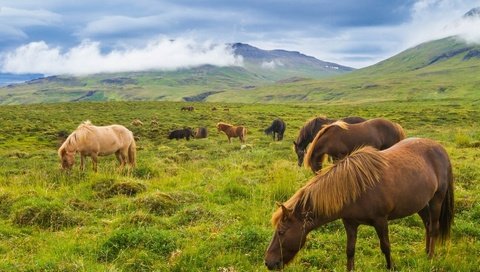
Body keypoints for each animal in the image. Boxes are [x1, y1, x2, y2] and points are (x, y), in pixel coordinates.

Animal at [264, 139, 456, 270]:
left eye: (281, 232)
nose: (268, 262)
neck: (354, 188)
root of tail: (440, 148)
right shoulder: (350, 223)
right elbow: (350, 250)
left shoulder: (381, 221)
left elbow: (385, 247)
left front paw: (391, 267)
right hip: (421, 204)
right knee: (427, 225)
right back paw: (425, 251)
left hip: (436, 200)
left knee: (434, 228)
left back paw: (430, 256)